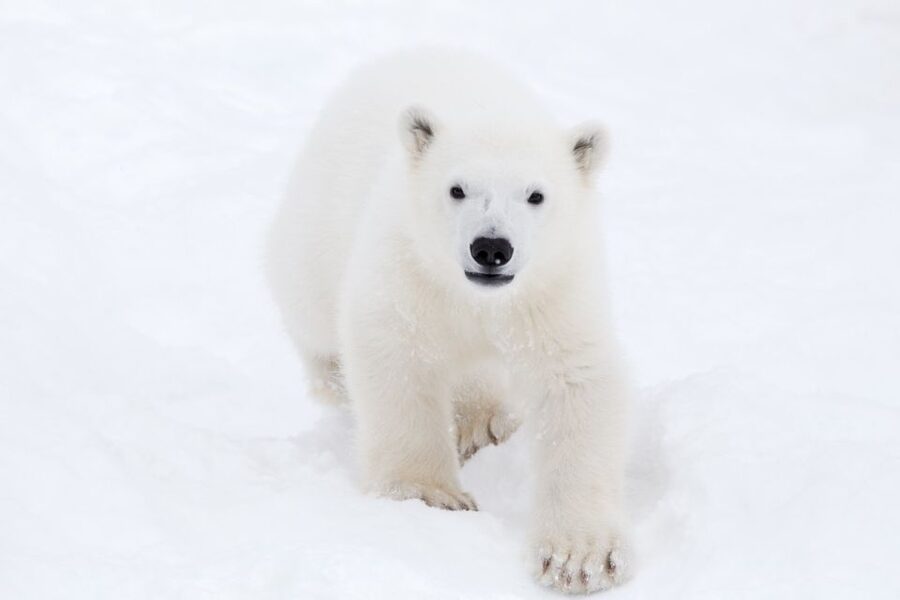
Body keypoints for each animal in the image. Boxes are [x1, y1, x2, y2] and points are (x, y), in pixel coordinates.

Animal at [266, 49, 631, 594]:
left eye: (536, 195)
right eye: (457, 189)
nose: (491, 248)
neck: (476, 298)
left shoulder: (554, 288)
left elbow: (575, 382)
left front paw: (578, 557)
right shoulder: (408, 267)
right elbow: (394, 356)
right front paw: (429, 494)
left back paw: (482, 423)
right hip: (316, 223)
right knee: (307, 307)